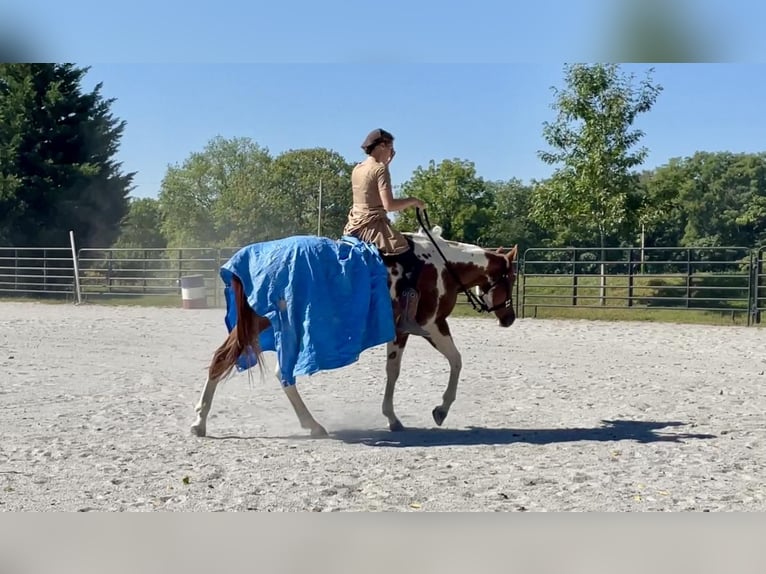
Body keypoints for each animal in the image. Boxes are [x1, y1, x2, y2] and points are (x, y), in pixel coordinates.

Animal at [189, 224, 520, 436]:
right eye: (511, 278)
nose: (510, 318)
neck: (442, 265)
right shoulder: (432, 325)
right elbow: (456, 361)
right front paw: (441, 410)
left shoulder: (402, 331)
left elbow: (393, 372)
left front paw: (393, 418)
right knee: (272, 371)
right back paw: (310, 425)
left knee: (223, 361)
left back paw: (201, 422)